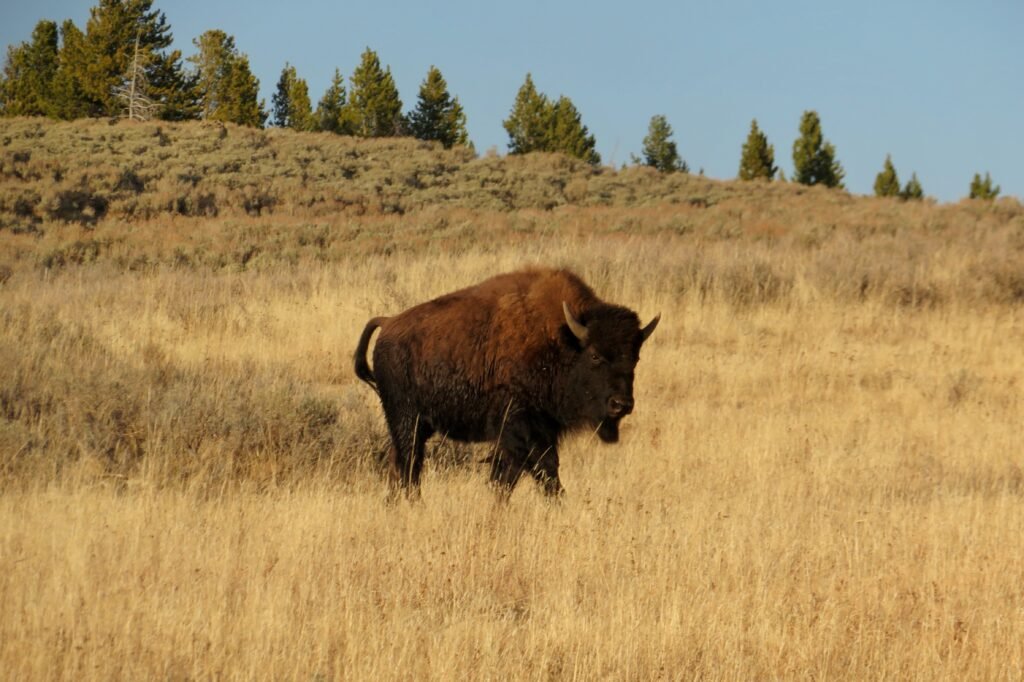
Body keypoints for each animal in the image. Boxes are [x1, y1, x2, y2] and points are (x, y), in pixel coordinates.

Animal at [354, 268, 659, 498]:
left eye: (635, 357)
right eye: (595, 355)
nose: (621, 404)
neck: (562, 340)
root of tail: (388, 323)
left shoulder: (539, 430)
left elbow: (509, 477)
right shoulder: (523, 429)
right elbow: (543, 470)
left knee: (399, 466)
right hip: (407, 419)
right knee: (409, 466)